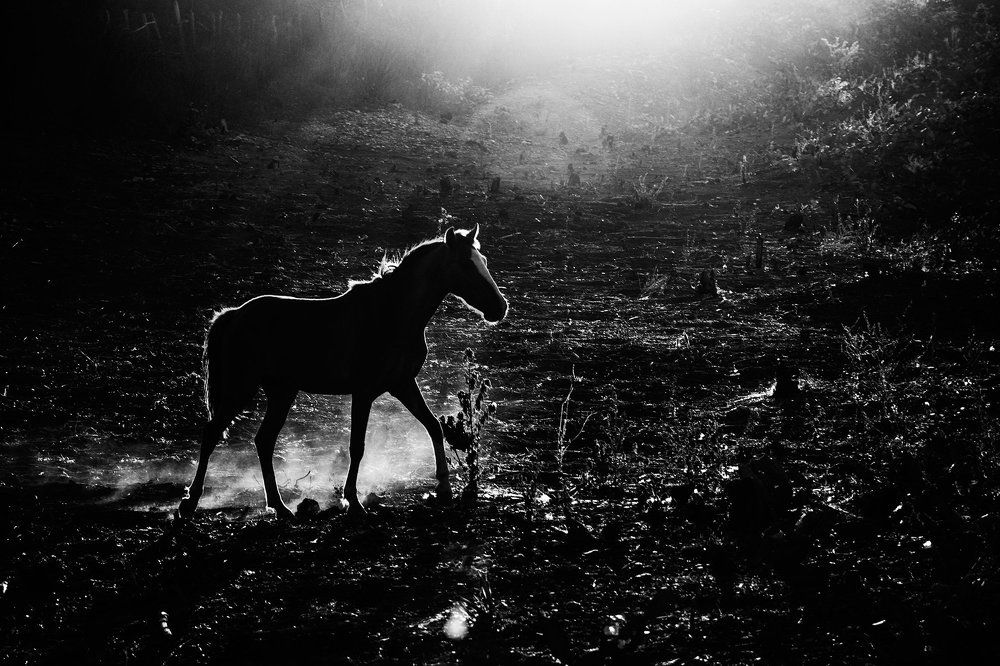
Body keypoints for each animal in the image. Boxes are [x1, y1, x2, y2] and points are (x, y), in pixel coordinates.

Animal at [176, 225, 507, 519]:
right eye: (466, 263)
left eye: (483, 260)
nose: (500, 307)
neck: (393, 313)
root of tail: (233, 315)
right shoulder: (364, 392)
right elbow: (356, 446)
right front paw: (354, 502)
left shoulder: (402, 384)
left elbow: (434, 426)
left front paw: (444, 490)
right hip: (241, 388)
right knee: (212, 434)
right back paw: (190, 503)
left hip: (281, 392)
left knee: (264, 441)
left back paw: (280, 507)